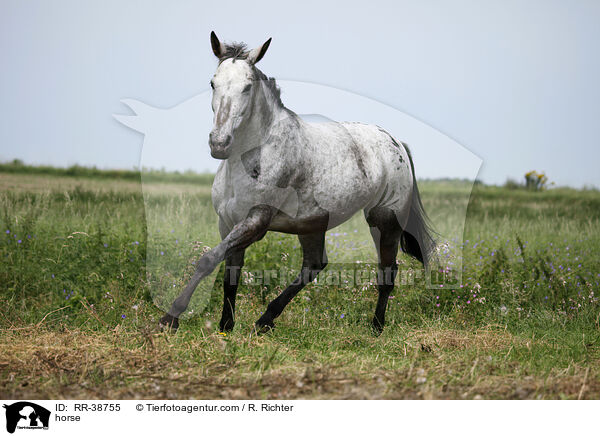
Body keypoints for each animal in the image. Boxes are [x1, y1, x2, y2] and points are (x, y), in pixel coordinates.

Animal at [158, 32, 436, 336]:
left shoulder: (256, 221)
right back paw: (265, 320)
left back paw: (375, 327)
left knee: (387, 272)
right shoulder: (228, 221)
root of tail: (396, 142)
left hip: (385, 221)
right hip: (312, 224)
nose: (219, 143)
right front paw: (225, 327)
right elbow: (230, 273)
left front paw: (170, 318)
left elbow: (208, 261)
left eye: (247, 86)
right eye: (213, 83)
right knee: (314, 265)